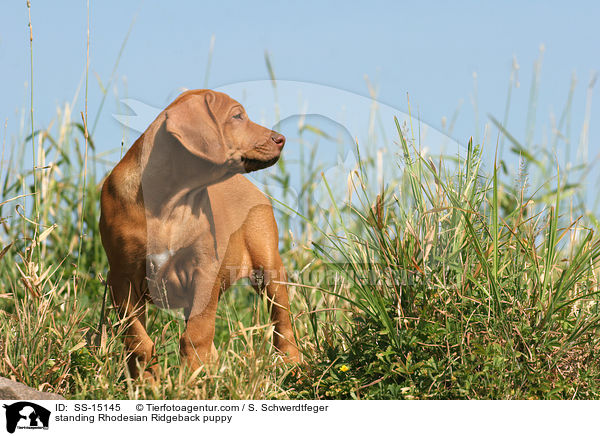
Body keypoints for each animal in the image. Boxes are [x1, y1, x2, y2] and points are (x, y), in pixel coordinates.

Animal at [102, 89, 304, 378]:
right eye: (237, 116)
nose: (281, 139)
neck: (169, 203)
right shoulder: (122, 278)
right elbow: (137, 339)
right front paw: (147, 382)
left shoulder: (204, 272)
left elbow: (196, 336)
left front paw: (191, 379)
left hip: (269, 265)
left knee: (282, 320)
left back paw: (291, 364)